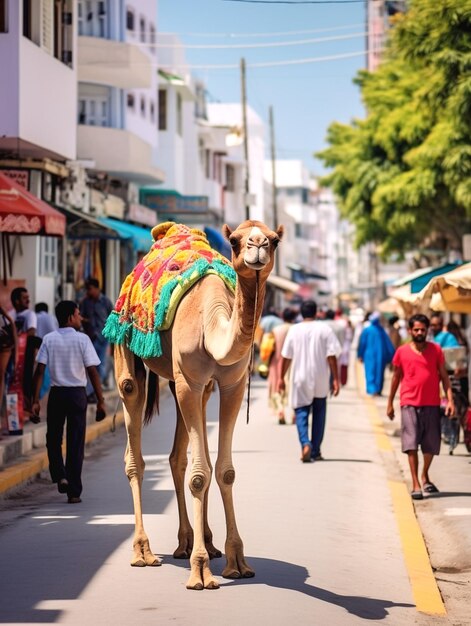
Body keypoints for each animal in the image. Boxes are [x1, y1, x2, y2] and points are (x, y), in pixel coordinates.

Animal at [109, 218, 284, 584]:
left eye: (274, 240)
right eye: (235, 241)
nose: (258, 246)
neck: (211, 322)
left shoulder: (231, 383)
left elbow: (224, 471)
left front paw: (237, 561)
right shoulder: (190, 380)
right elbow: (200, 475)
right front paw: (201, 571)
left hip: (187, 385)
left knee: (178, 457)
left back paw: (193, 542)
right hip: (125, 342)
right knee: (132, 421)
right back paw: (144, 552)